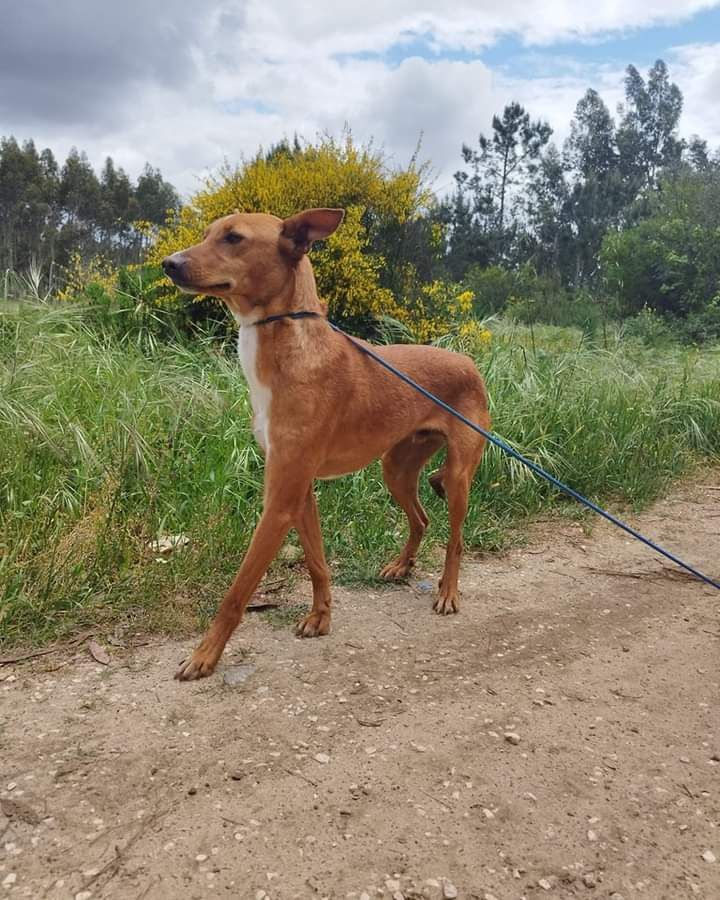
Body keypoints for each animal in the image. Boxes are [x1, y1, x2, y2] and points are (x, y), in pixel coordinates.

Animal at [162, 207, 490, 680]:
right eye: (207, 234)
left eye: (234, 238)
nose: (168, 263)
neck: (289, 350)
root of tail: (469, 361)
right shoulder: (299, 491)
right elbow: (317, 562)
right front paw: (321, 616)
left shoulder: (280, 500)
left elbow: (237, 592)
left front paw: (205, 655)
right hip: (396, 470)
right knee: (422, 519)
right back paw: (401, 565)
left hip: (459, 475)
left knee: (456, 538)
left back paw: (447, 592)